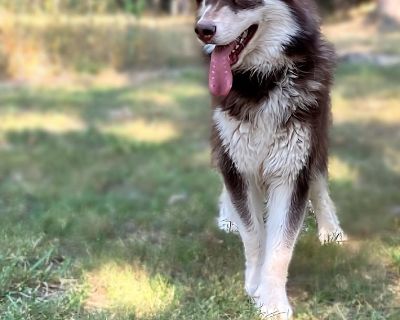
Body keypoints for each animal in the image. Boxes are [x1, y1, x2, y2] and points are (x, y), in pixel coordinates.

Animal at [195, 0, 346, 320]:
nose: (202, 30)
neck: (262, 82)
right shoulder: (238, 164)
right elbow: (253, 235)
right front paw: (255, 284)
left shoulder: (292, 170)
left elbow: (280, 246)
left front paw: (273, 302)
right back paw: (228, 216)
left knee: (318, 181)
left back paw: (330, 229)